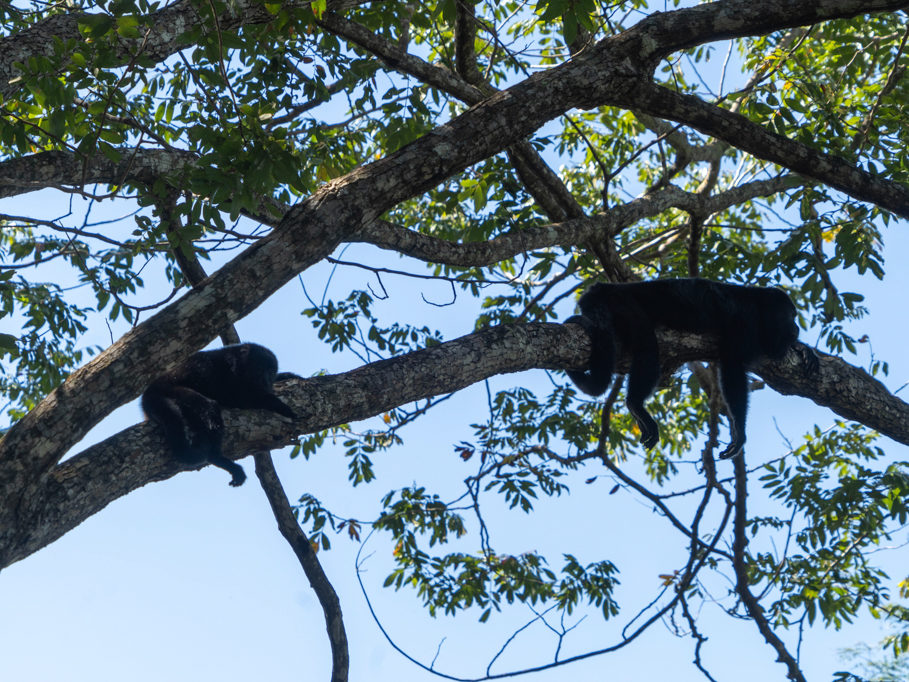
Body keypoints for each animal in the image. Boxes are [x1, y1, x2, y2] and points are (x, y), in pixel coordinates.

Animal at [141, 346, 294, 484]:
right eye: (260, 369)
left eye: (271, 371)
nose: (266, 380)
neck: (234, 365)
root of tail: (149, 392)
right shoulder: (222, 376)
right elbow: (241, 398)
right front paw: (280, 405)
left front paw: (287, 376)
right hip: (172, 391)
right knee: (209, 408)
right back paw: (217, 458)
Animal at [564, 278, 812, 460]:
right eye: (789, 315)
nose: (796, 327)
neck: (759, 308)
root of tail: (603, 288)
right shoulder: (746, 323)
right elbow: (732, 369)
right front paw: (740, 432)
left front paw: (804, 349)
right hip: (623, 304)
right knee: (647, 344)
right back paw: (636, 403)